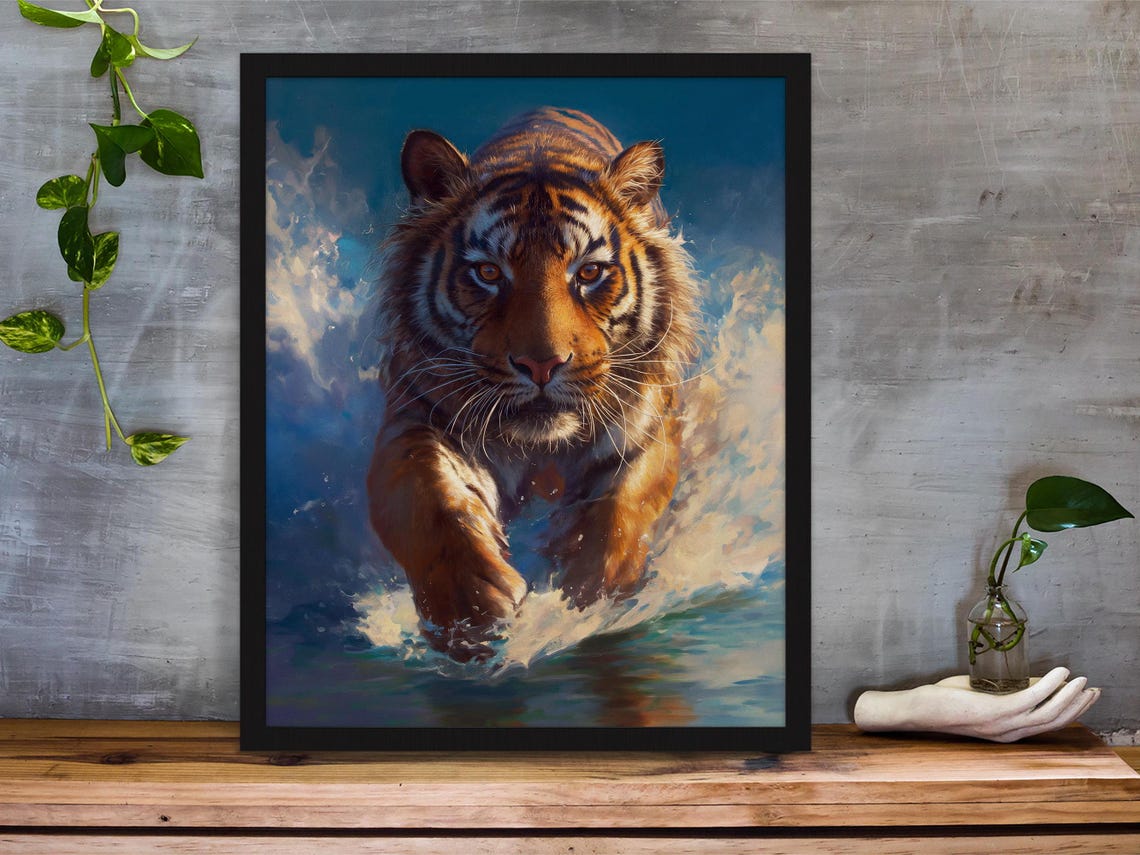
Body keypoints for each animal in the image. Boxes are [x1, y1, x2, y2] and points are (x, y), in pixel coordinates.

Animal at [367, 107, 699, 661]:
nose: (541, 364)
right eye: (487, 273)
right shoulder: (416, 418)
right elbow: (427, 497)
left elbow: (624, 506)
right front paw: (469, 608)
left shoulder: (645, 426)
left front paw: (592, 591)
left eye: (588, 273)